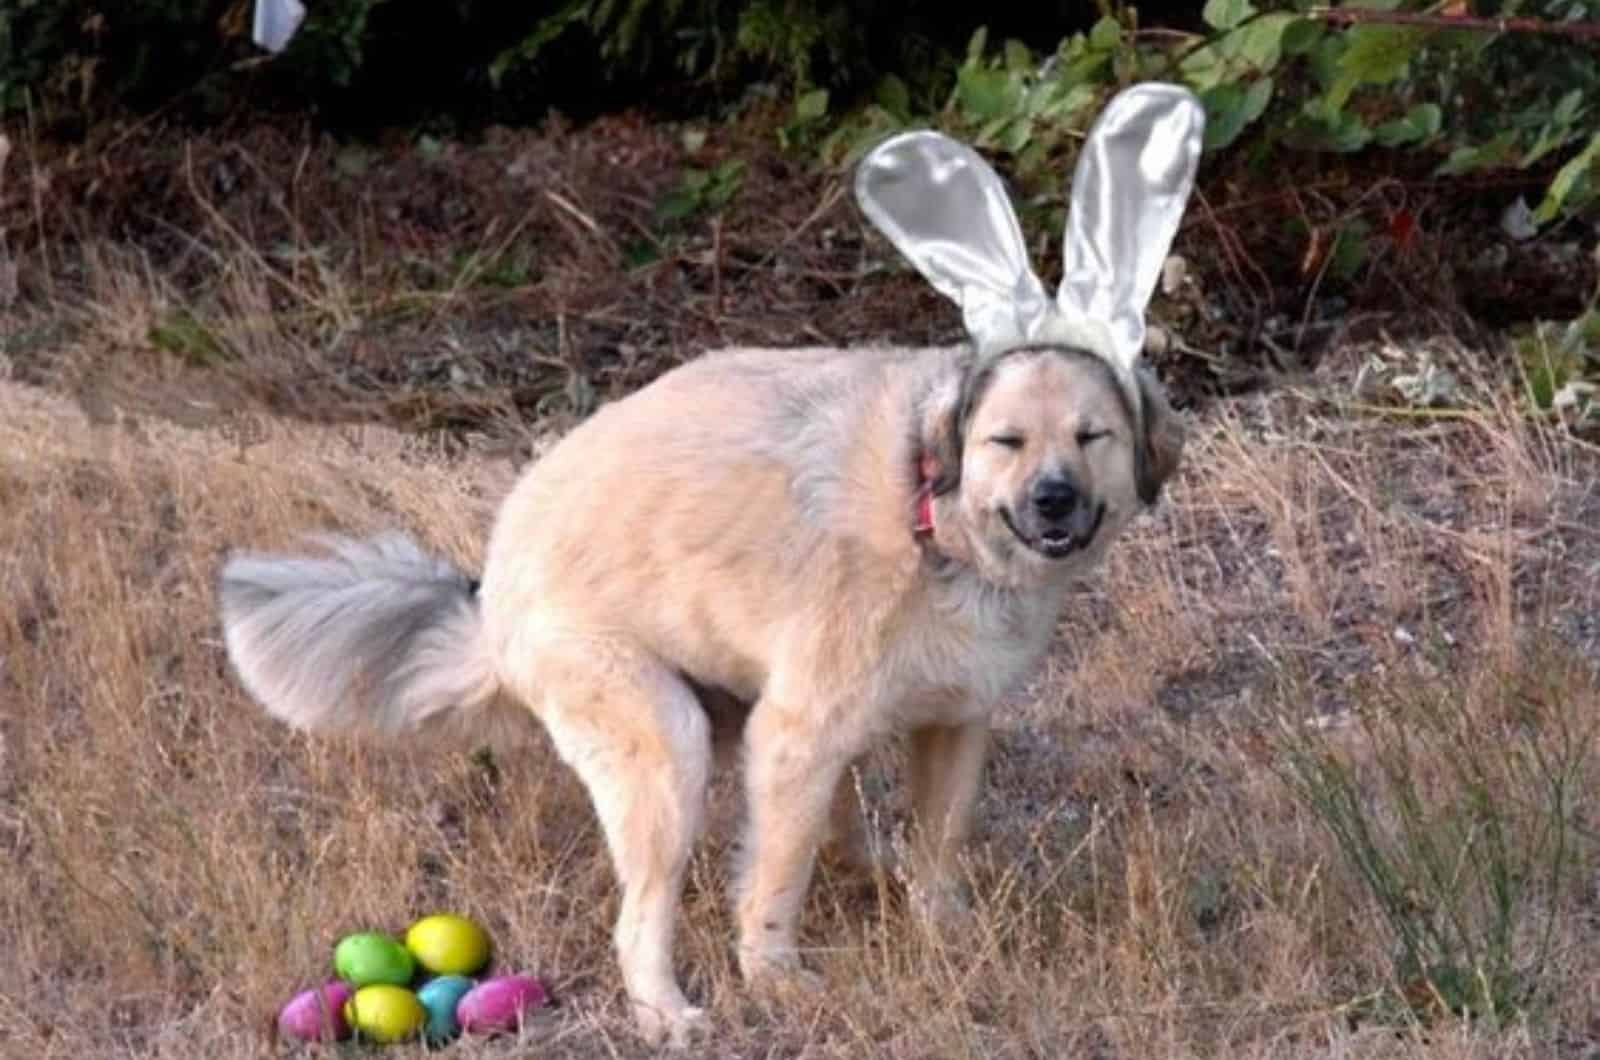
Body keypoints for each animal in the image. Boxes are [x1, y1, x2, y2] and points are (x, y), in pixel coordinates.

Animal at [219, 83, 1203, 1043]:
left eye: (1092, 437)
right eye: (1007, 441)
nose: (1054, 500)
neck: (934, 516)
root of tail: (490, 594)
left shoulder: (953, 725)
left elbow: (938, 848)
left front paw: (947, 931)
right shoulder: (795, 737)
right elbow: (774, 881)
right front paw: (773, 977)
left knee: (831, 829)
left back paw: (856, 874)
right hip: (667, 746)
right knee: (640, 916)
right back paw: (664, 1011)